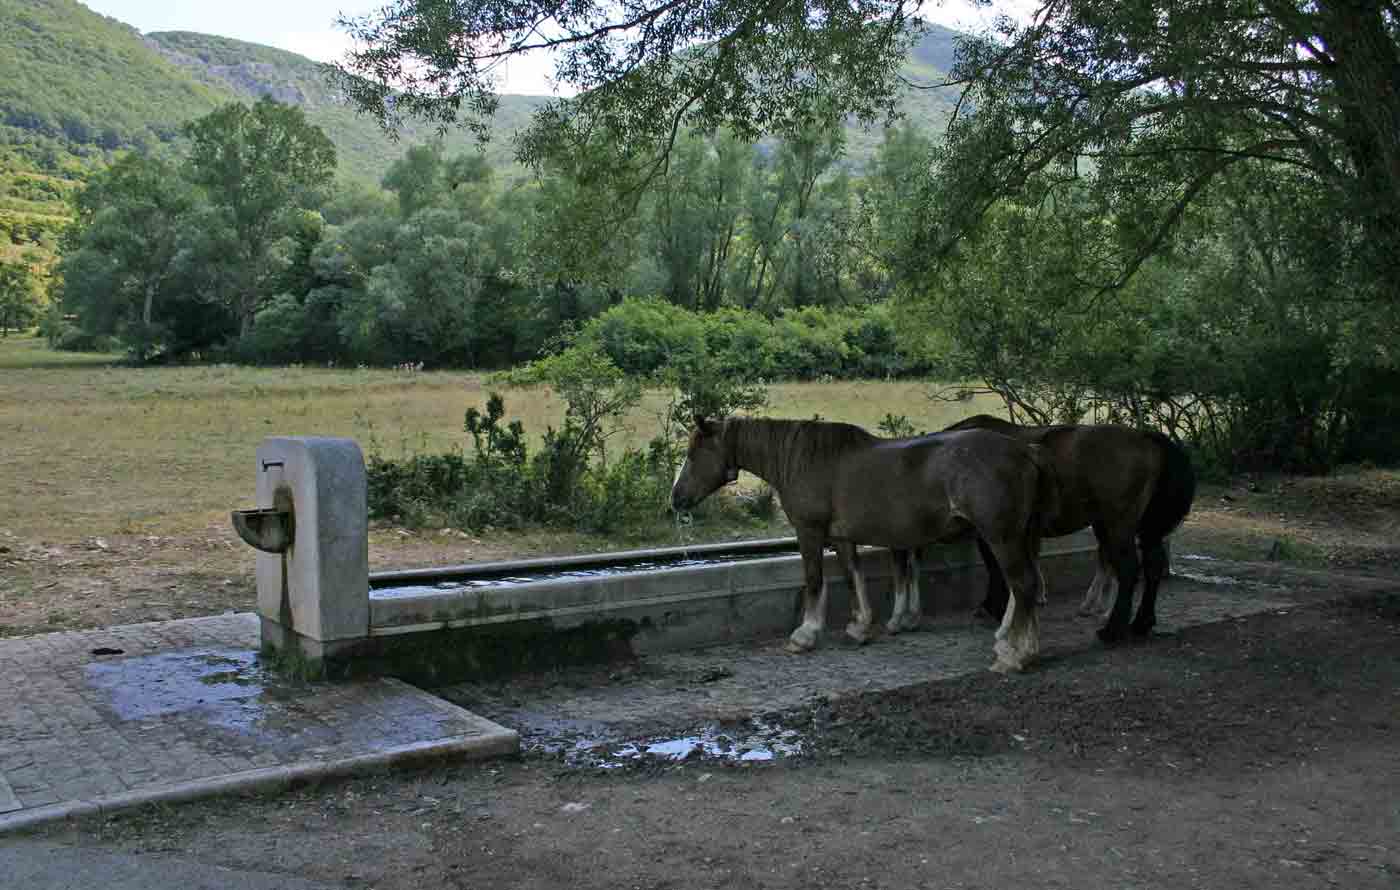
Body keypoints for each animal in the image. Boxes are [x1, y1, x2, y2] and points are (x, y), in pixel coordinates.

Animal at [672, 419, 1052, 671]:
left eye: (694, 453)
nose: (675, 499)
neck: (804, 460)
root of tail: (1025, 451)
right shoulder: (842, 538)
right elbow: (853, 576)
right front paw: (860, 627)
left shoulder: (809, 532)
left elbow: (814, 580)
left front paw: (805, 635)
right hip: (1015, 537)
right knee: (1025, 588)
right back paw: (1012, 643)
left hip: (1001, 537)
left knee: (1023, 585)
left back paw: (1015, 654)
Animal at [940, 414, 1192, 643]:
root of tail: (1146, 437)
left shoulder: (995, 532)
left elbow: (995, 567)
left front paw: (993, 607)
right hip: (1143, 528)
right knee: (1152, 565)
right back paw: (1141, 623)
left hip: (1117, 524)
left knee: (1128, 568)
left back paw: (1112, 630)